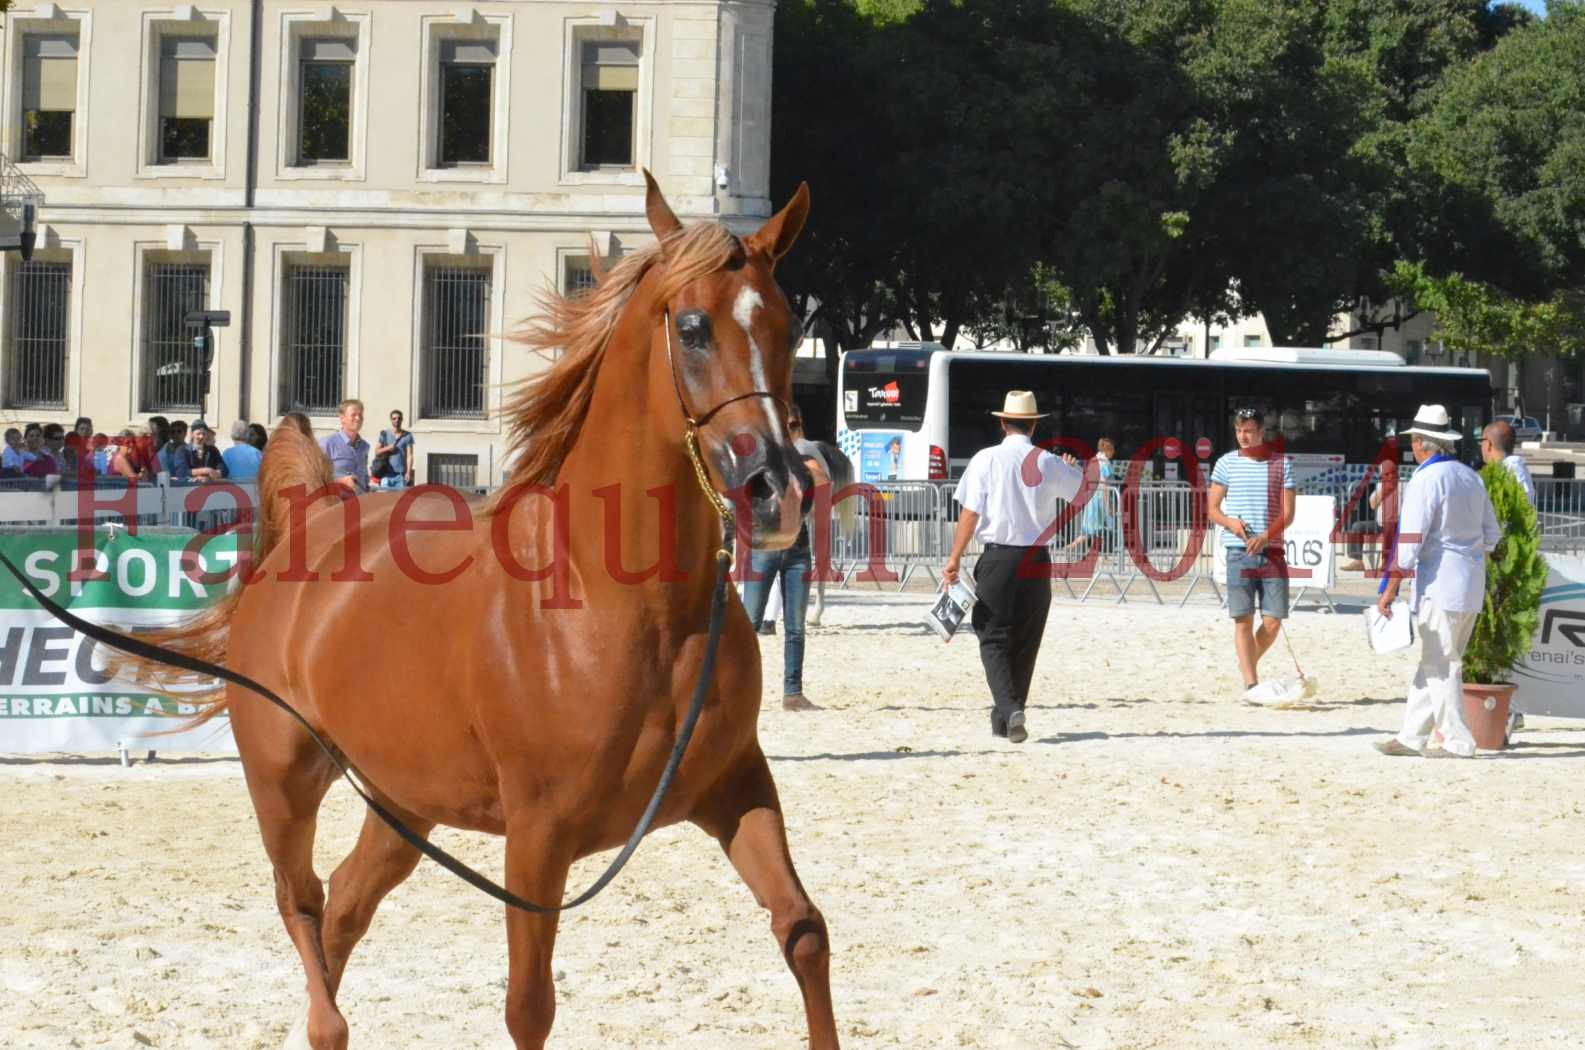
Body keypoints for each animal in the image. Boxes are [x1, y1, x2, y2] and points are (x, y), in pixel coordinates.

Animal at [113, 176, 836, 1046]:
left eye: (787, 324)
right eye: (692, 327)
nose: (779, 492)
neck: (629, 610)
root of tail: (314, 519)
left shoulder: (735, 788)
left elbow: (803, 930)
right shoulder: (537, 838)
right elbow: (528, 1005)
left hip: (402, 802)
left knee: (344, 906)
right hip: (282, 782)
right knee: (303, 902)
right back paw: (327, 1022)